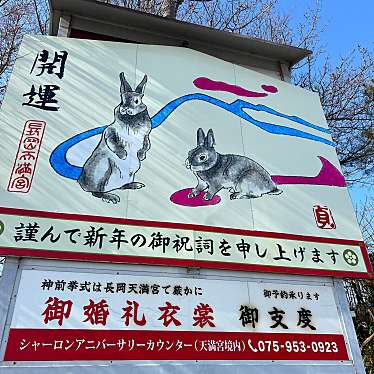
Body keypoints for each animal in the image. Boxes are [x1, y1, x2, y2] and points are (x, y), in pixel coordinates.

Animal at [78, 72, 152, 203]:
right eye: (122, 100)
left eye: (137, 101)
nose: (125, 108)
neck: (130, 121)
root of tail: (80, 181)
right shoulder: (110, 131)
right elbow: (112, 142)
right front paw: (123, 155)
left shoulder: (145, 136)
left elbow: (146, 144)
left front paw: (141, 156)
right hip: (103, 170)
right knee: (96, 192)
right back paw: (111, 197)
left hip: (130, 174)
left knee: (122, 186)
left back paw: (135, 185)